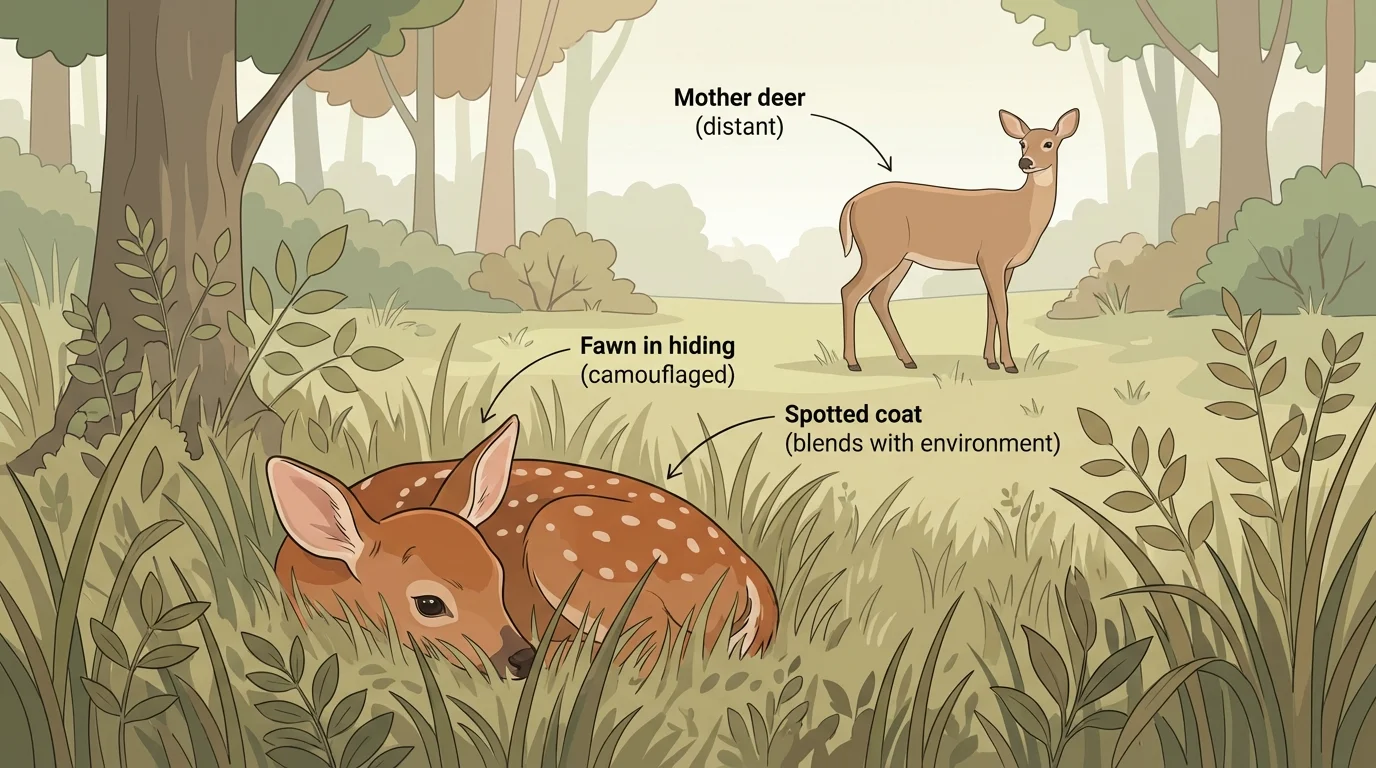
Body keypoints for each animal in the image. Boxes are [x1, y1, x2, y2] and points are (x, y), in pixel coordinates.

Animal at [266, 414, 779, 680]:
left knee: (655, 640)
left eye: (499, 579)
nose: (521, 659)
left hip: (563, 537)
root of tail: (748, 570)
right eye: (429, 603)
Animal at [837, 108, 1079, 374]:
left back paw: (907, 359)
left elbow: (991, 308)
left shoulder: (1006, 266)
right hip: (880, 251)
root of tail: (851, 203)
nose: (1025, 162)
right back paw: (853, 362)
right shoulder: (992, 258)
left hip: (900, 258)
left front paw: (991, 361)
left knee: (878, 297)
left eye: (1048, 143)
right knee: (850, 291)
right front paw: (1009, 364)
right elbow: (1002, 308)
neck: (1022, 214)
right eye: (1022, 143)